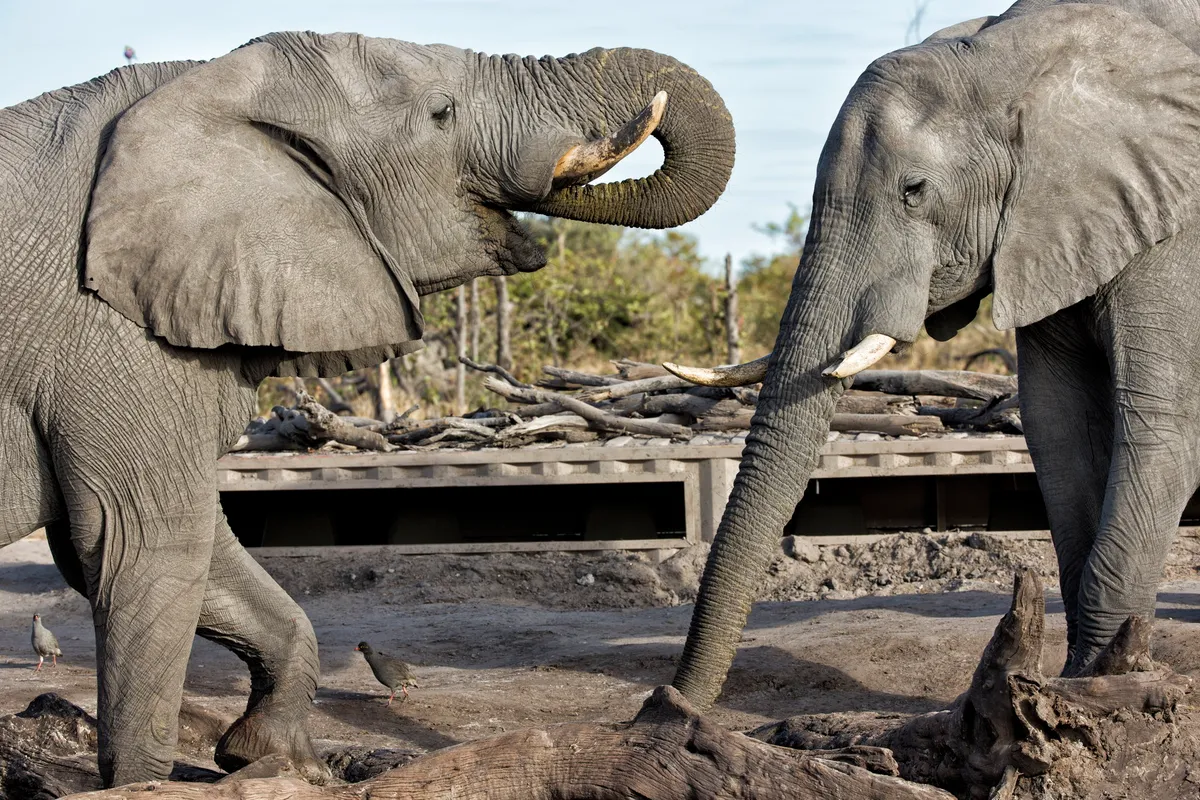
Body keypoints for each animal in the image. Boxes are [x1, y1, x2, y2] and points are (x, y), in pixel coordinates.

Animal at [0, 33, 733, 785]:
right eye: (441, 113)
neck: (203, 79)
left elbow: (187, 552)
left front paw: (274, 761)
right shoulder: (112, 338)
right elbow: (151, 542)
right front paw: (147, 785)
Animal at [665, 0, 1200, 710]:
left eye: (914, 190)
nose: (671, 702)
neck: (1017, 56)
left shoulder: (1178, 225)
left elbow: (1160, 426)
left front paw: (1101, 688)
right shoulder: (1055, 226)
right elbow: (1061, 426)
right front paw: (1077, 680)